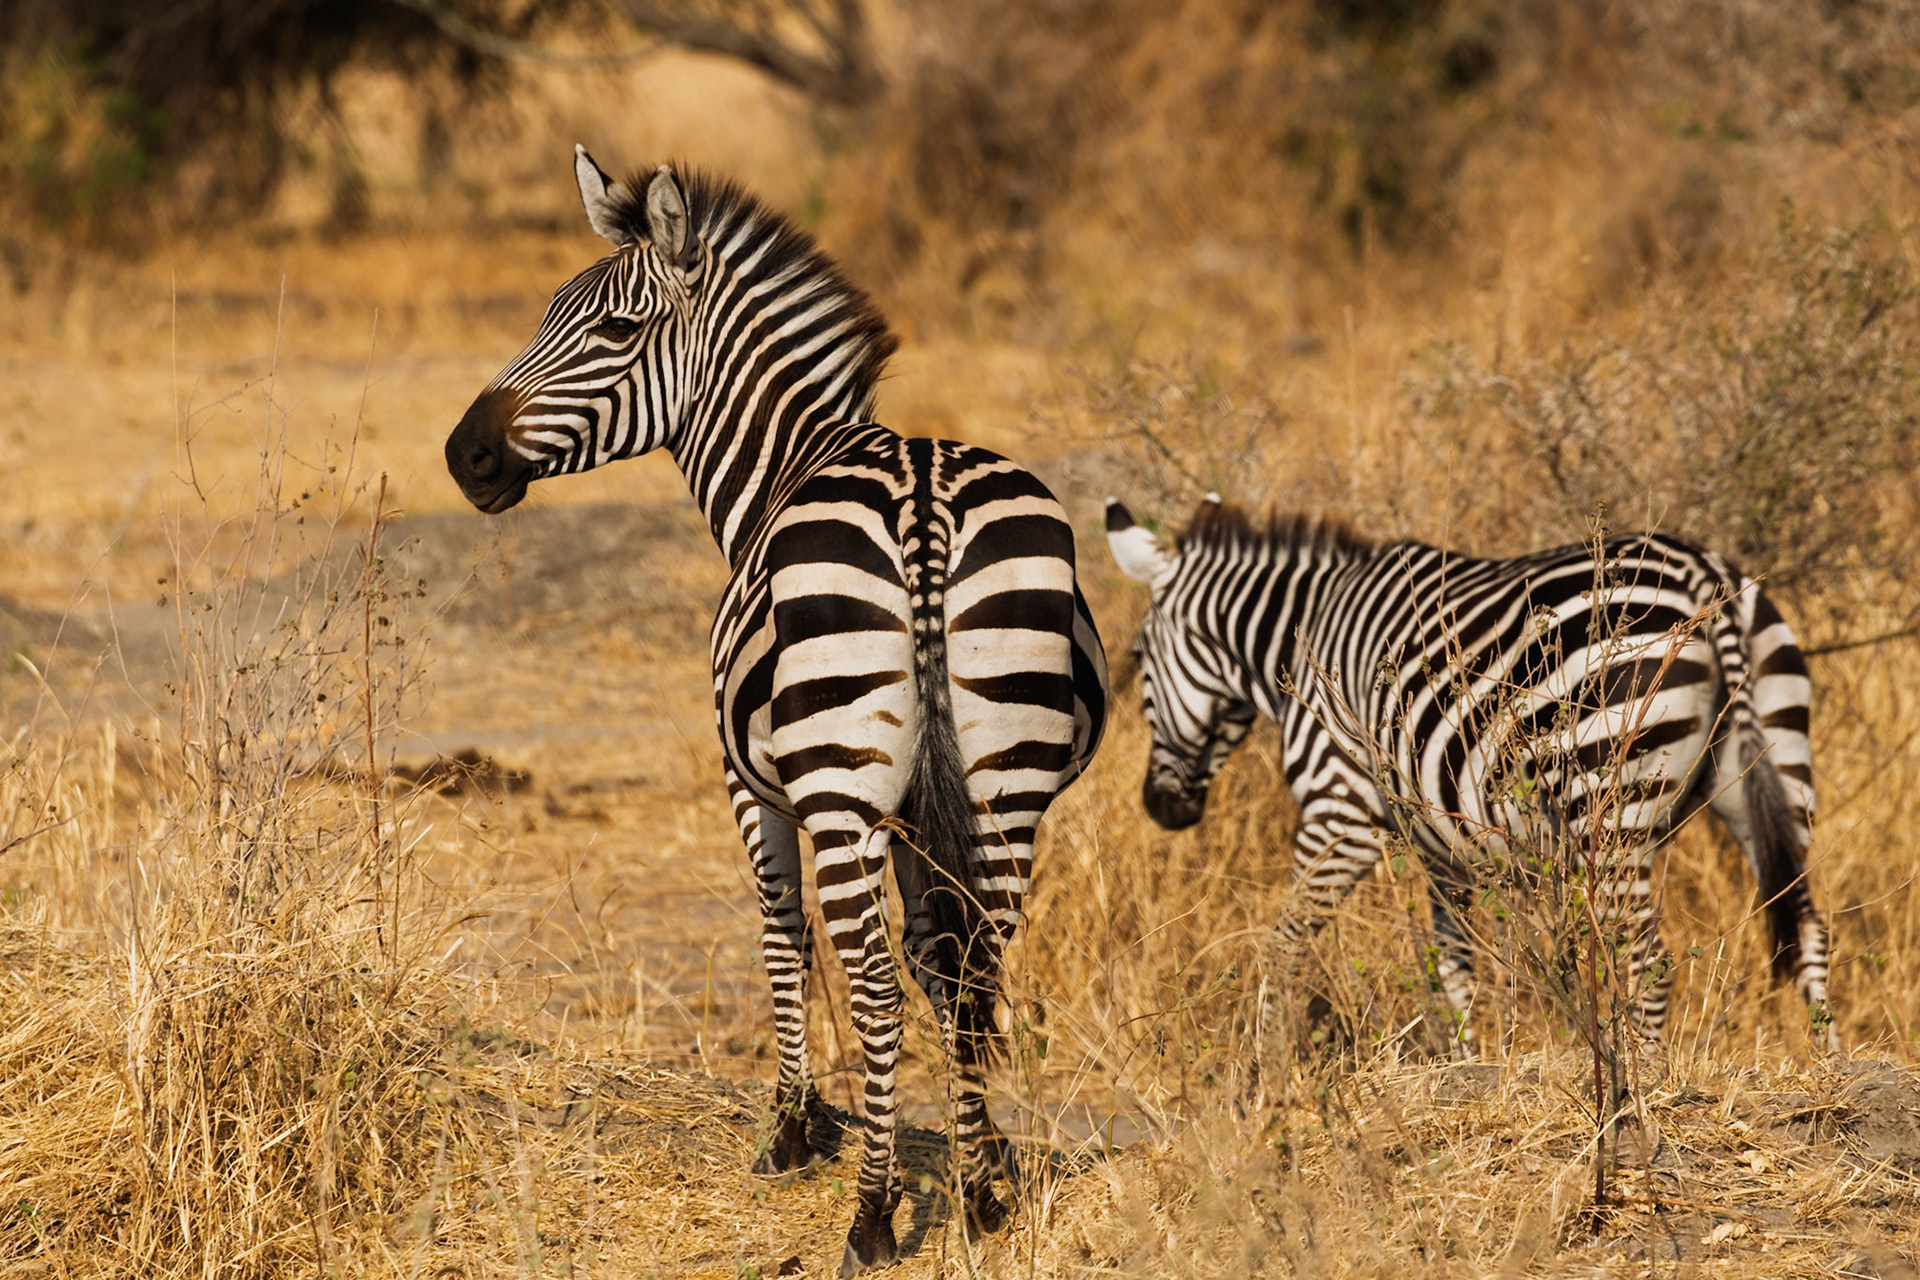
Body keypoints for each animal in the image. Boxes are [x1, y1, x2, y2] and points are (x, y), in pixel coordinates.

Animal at [445, 148, 1107, 1275]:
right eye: (546, 314)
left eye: (613, 329)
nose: (463, 457)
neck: (792, 461)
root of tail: (923, 501)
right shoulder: (924, 810)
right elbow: (941, 965)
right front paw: (985, 1162)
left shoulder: (750, 783)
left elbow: (781, 925)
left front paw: (796, 1125)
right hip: (1005, 780)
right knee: (980, 964)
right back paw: (981, 1201)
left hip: (840, 788)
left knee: (873, 977)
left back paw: (874, 1218)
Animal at [1104, 495, 1835, 1055]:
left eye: (1137, 659)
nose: (1159, 807)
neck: (1300, 632)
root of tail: (1705, 574)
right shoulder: (1440, 843)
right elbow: (1452, 967)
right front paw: (1467, 1063)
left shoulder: (1341, 812)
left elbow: (1282, 946)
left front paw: (1261, 1076)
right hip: (1775, 757)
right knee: (1808, 928)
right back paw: (1827, 1073)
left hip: (1607, 792)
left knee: (1647, 959)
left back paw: (1642, 1094)